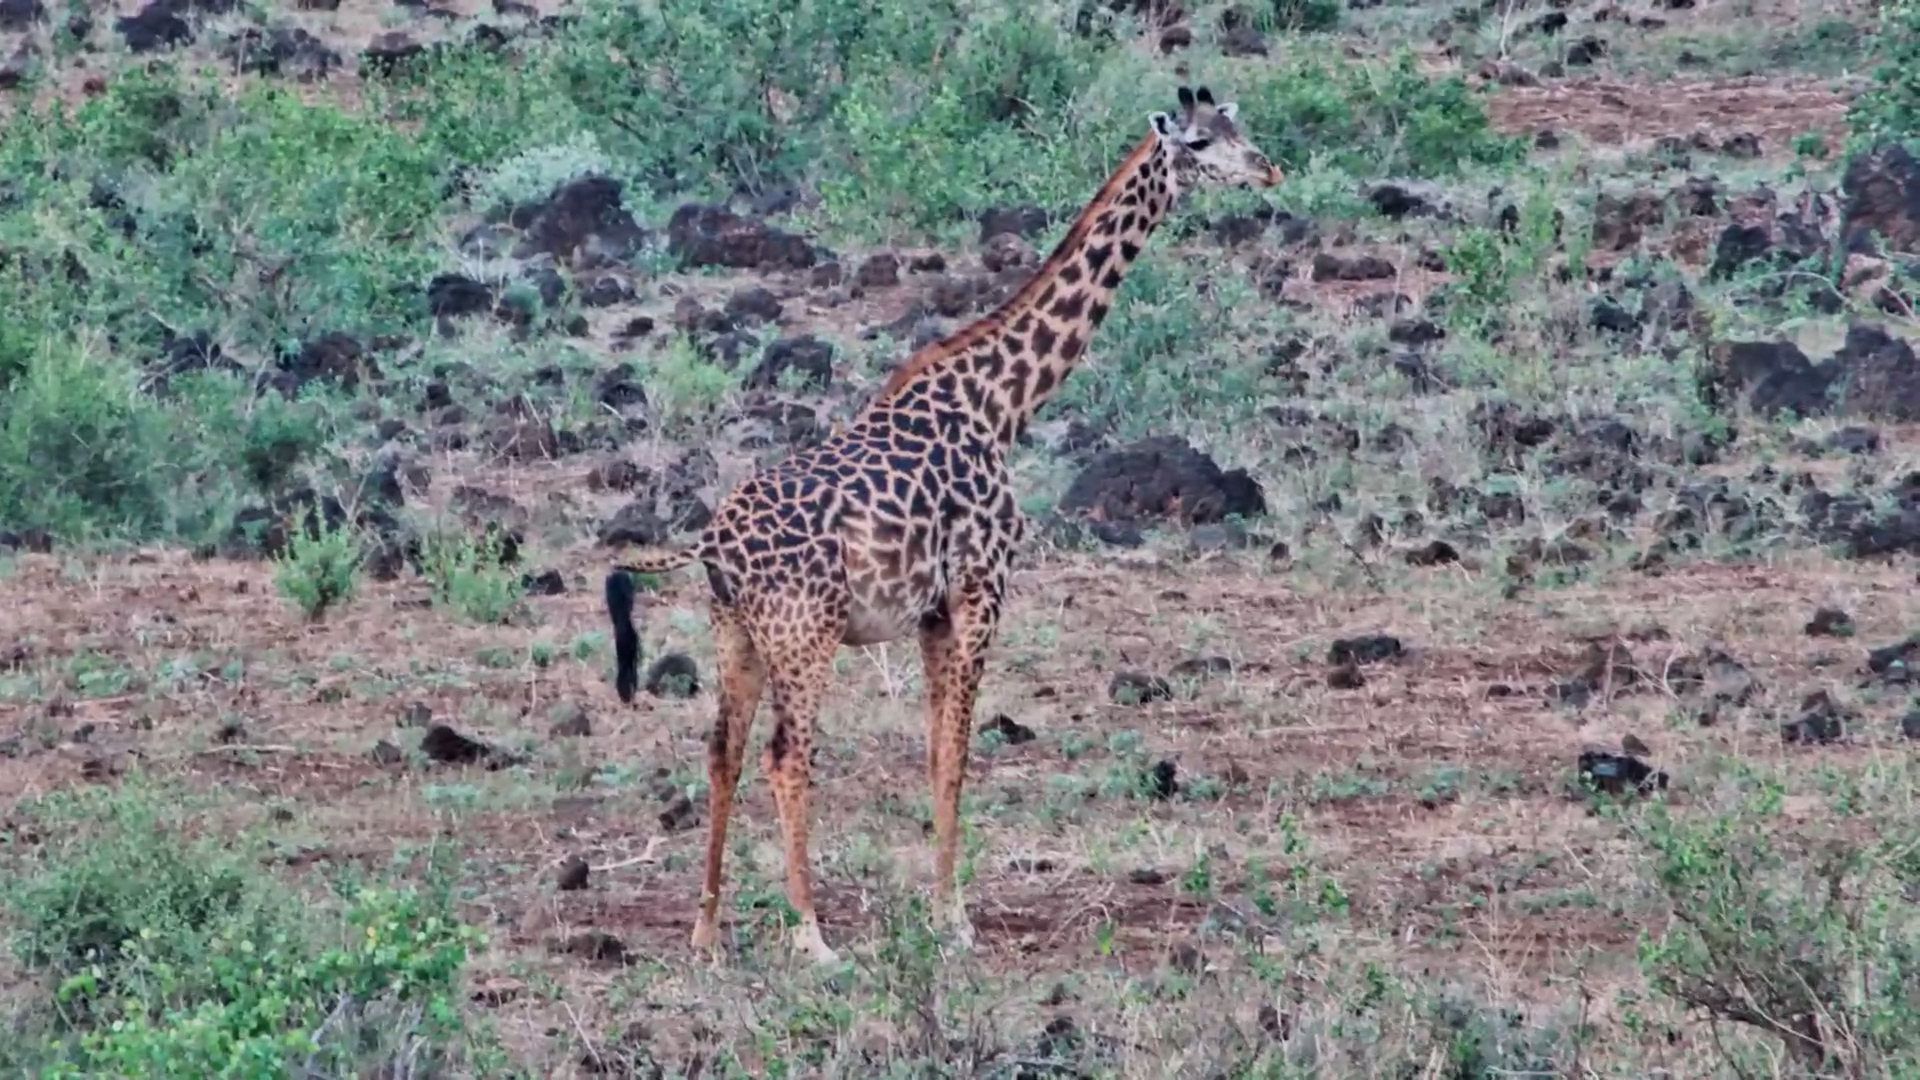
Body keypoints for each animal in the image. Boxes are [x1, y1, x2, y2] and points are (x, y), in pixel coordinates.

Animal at [605, 85, 1282, 965]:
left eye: (1241, 127)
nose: (1267, 169)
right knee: (788, 755)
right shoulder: (980, 589)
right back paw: (811, 934)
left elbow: (933, 750)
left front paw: (939, 909)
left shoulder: (929, 610)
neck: (1000, 401)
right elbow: (958, 753)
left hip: (736, 633)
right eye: (1200, 143)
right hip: (804, 633)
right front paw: (953, 919)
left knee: (723, 751)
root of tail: (711, 542)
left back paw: (707, 932)